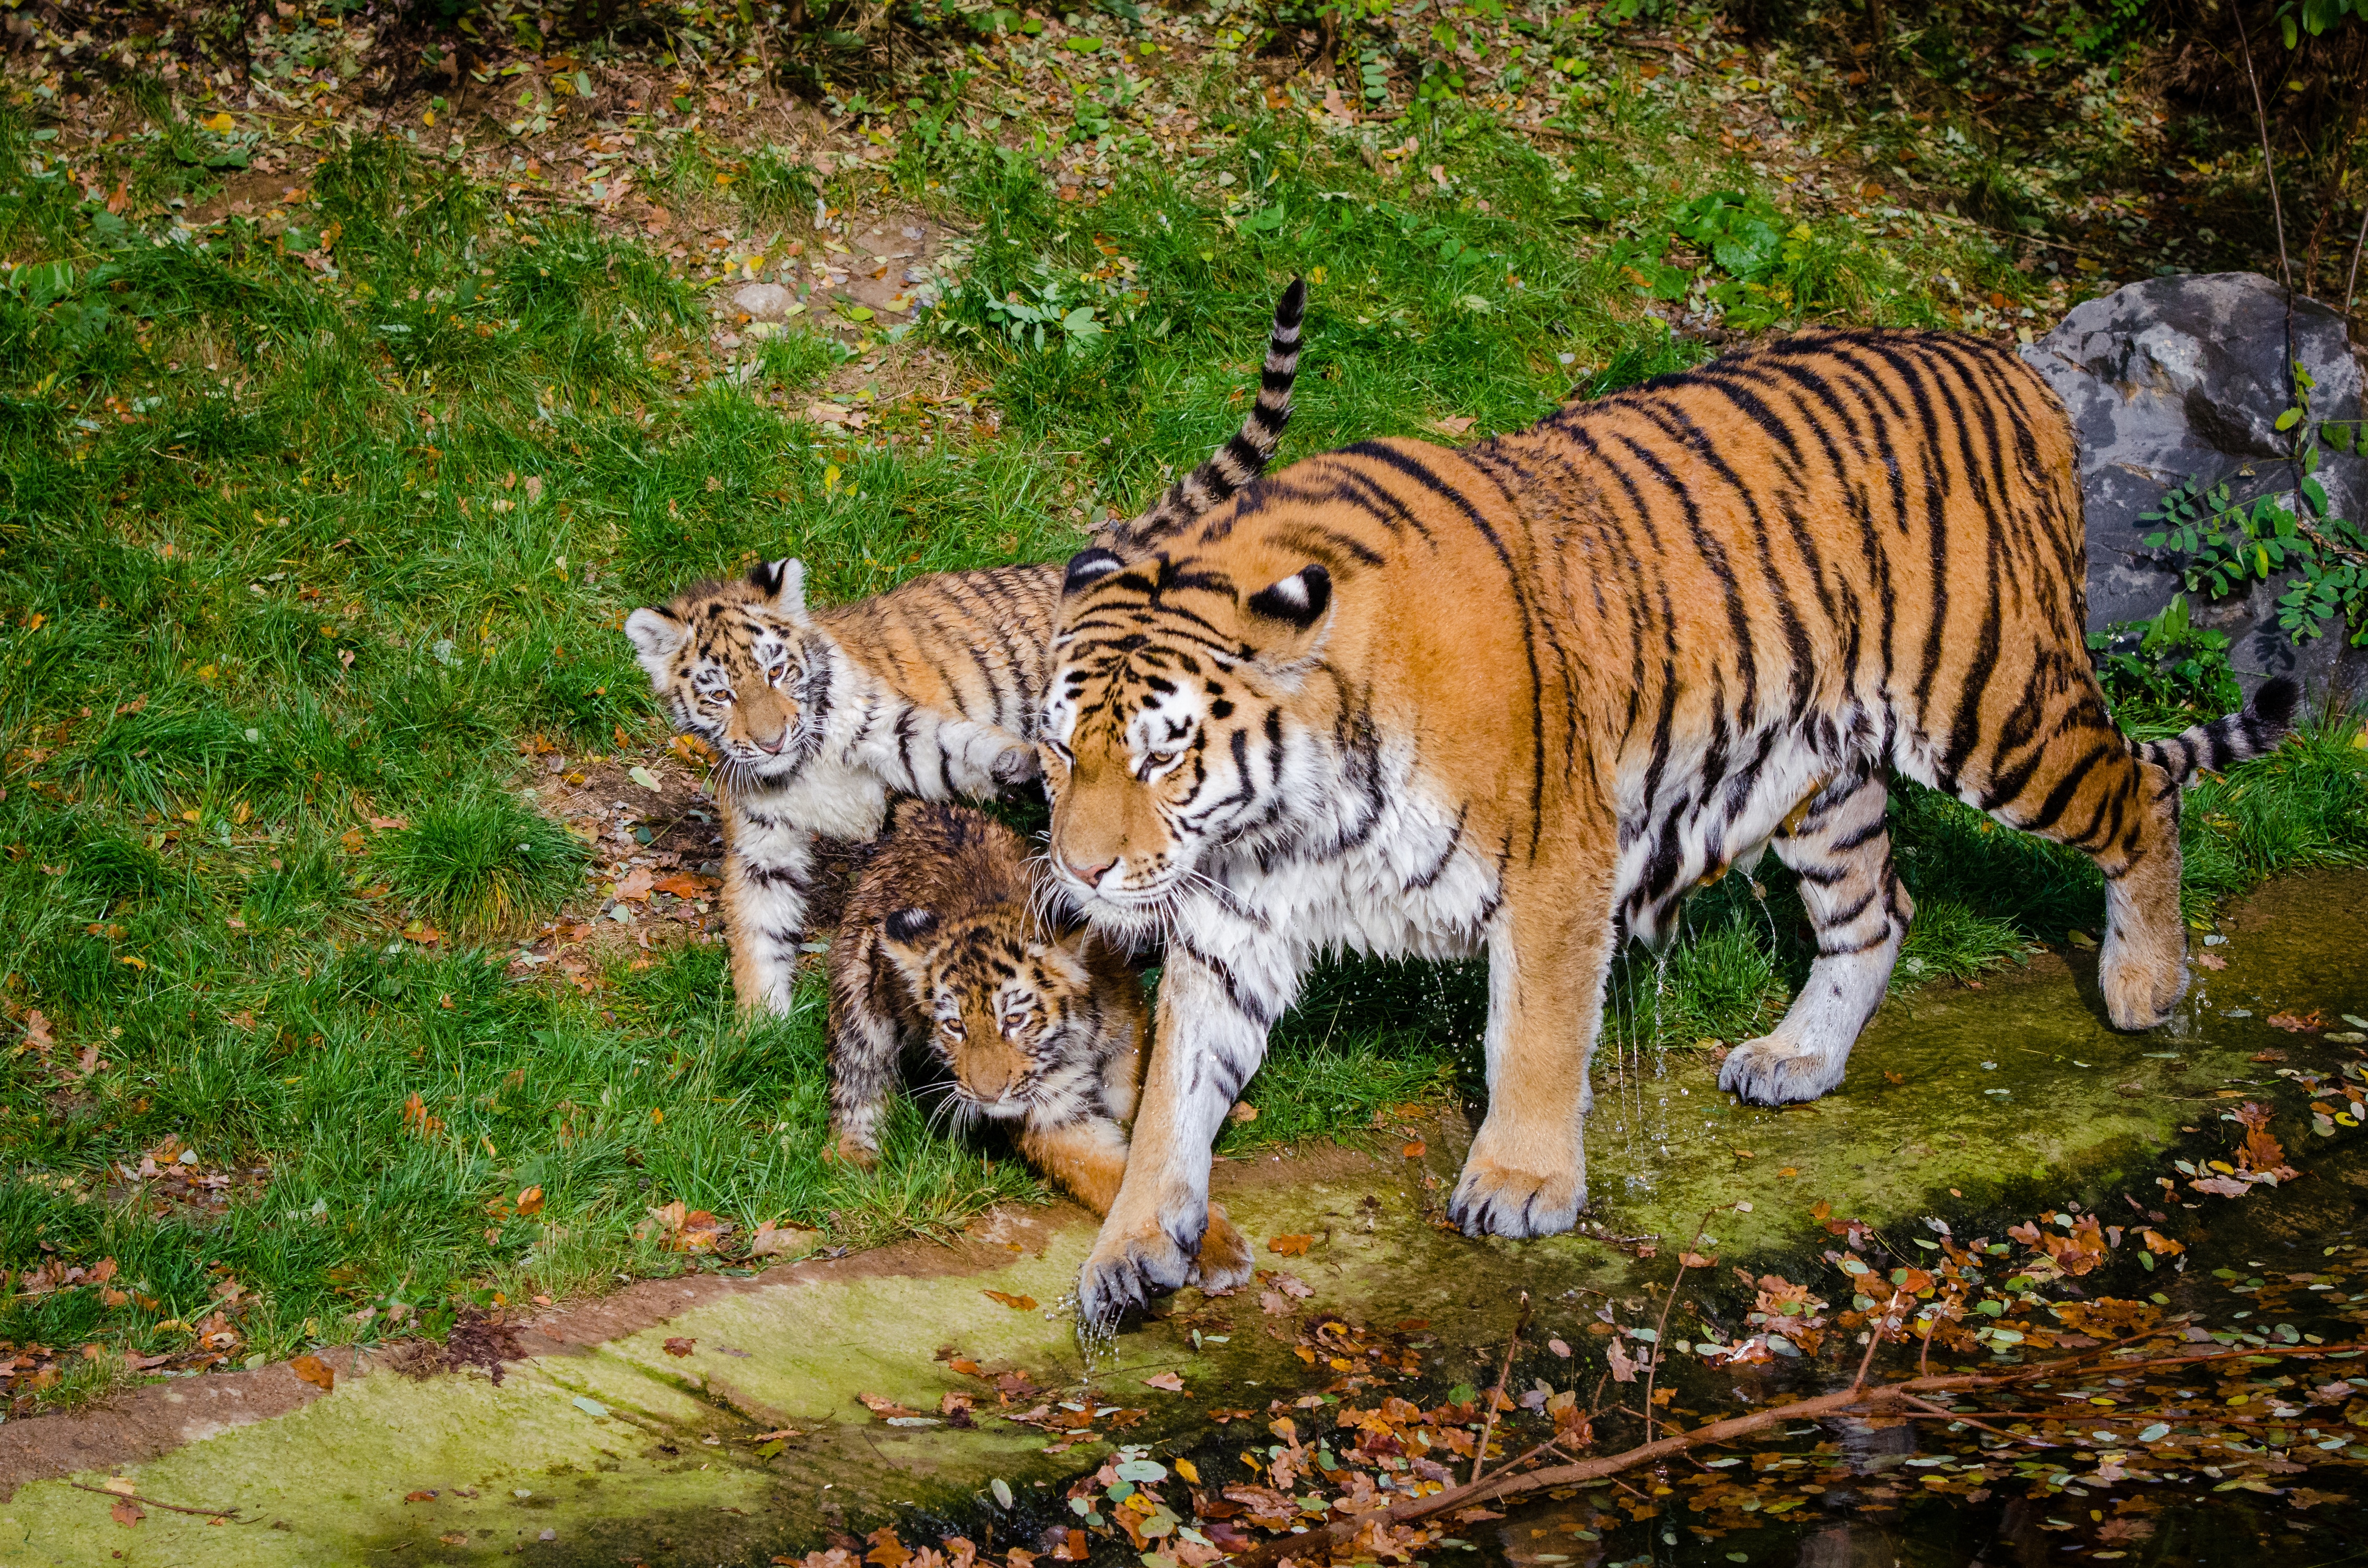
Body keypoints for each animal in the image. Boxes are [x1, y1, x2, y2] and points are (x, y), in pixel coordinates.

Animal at [1037, 324, 2292, 1317]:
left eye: (1163, 753)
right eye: (1058, 749)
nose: (1082, 872)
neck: (1287, 816)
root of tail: (2005, 363)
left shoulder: (1555, 861)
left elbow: (1534, 1035)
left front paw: (1521, 1183)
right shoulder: (1232, 920)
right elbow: (1173, 1093)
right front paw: (1132, 1246)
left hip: (1993, 706)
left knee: (2142, 795)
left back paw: (2143, 985)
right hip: (1819, 773)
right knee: (1877, 909)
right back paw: (1796, 1057)